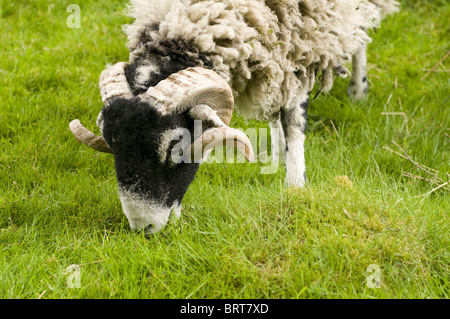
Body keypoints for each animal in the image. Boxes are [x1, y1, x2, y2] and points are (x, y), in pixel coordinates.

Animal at [69, 0, 398, 235]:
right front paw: (276, 153)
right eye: (113, 143)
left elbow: (293, 120)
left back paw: (358, 88)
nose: (144, 228)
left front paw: (295, 188)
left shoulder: (306, 36)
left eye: (175, 144)